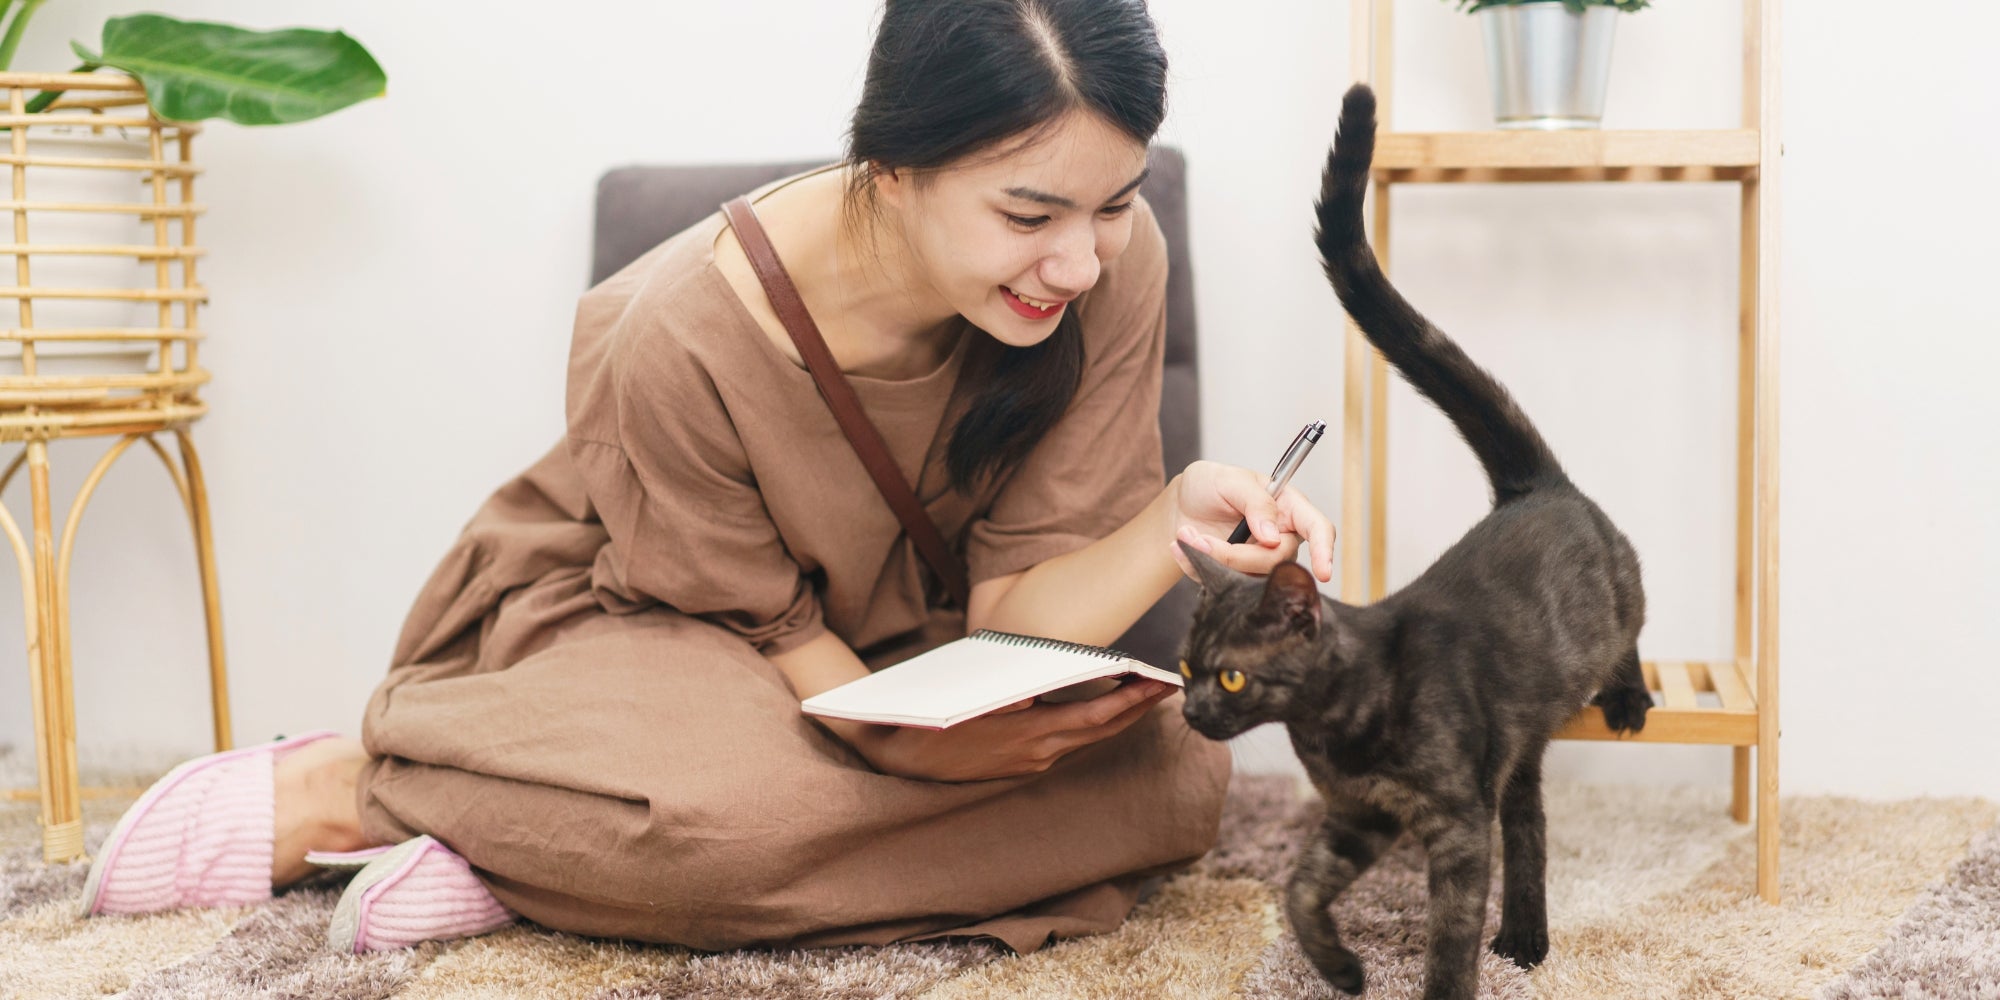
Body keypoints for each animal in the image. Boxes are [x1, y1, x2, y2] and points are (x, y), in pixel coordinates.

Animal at [1176, 82, 1648, 996]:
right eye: (1185, 668)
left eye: (1234, 678)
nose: (1188, 710)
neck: (1335, 723)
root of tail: (1535, 487)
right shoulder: (1357, 818)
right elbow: (1298, 892)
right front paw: (1340, 968)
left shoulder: (1454, 825)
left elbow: (1448, 940)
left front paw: (1433, 978)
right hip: (1519, 745)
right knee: (1529, 823)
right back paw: (1527, 935)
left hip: (1620, 603)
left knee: (1634, 636)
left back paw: (1631, 699)